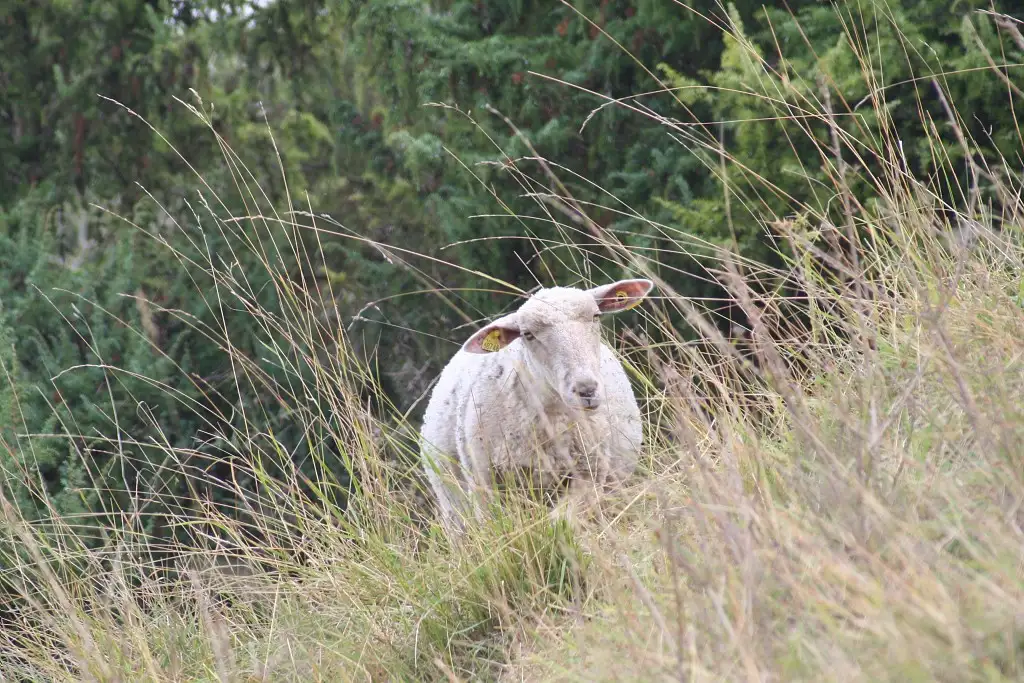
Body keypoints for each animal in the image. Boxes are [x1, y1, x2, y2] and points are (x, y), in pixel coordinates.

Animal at [419, 278, 654, 535]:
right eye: (528, 335)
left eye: (596, 316)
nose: (587, 390)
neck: (552, 418)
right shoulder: (485, 484)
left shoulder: (589, 475)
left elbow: (560, 523)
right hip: (453, 505)